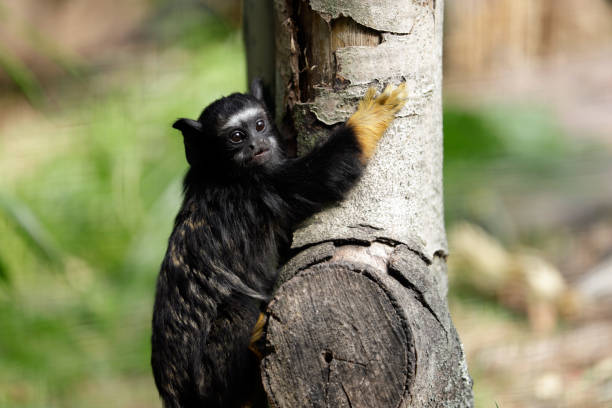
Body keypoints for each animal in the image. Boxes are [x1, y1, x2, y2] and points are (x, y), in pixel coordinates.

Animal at [150, 80, 406, 408]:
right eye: (237, 136)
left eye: (260, 125)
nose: (256, 144)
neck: (221, 174)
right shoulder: (262, 187)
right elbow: (326, 174)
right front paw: (371, 116)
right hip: (208, 382)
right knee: (240, 306)